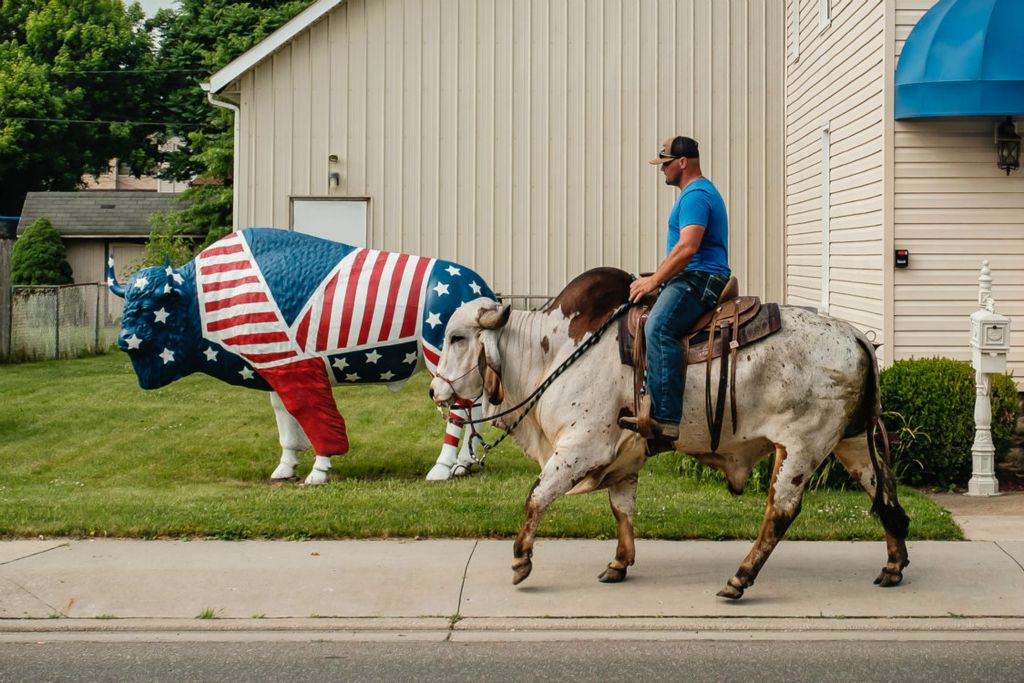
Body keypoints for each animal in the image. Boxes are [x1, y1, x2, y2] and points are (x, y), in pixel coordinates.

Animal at [428, 270, 909, 602]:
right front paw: (618, 563)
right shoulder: (623, 461)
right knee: (883, 493)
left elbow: (536, 496)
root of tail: (855, 335)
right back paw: (893, 564)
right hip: (851, 442)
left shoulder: (580, 448)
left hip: (799, 448)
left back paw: (740, 578)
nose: (434, 391)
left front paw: (521, 558)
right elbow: (621, 510)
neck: (555, 350)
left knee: (781, 512)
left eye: (457, 337)